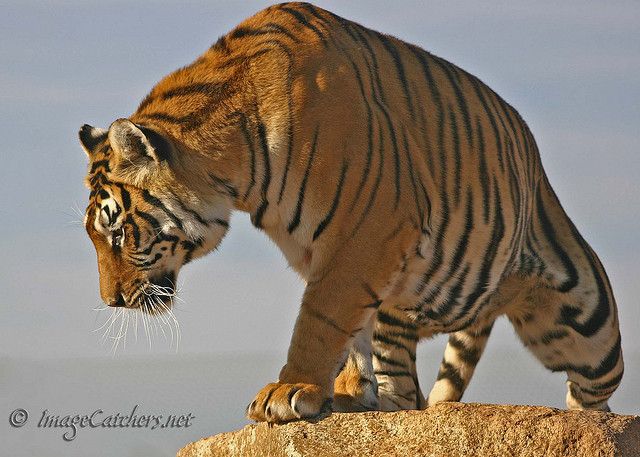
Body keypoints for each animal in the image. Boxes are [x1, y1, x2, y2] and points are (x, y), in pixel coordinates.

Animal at [77, 1, 624, 422]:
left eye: (118, 233)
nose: (111, 302)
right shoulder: (323, 249)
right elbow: (347, 330)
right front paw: (341, 393)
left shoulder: (370, 229)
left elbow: (320, 317)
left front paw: (288, 391)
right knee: (410, 389)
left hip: (589, 320)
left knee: (595, 396)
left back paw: (590, 423)